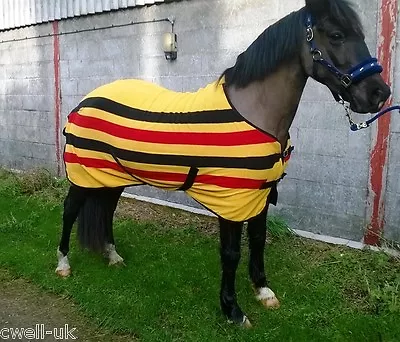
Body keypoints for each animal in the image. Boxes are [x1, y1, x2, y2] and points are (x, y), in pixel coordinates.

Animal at [55, 0, 390, 328]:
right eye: (336, 35)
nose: (379, 94)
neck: (255, 114)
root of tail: (85, 102)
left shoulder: (261, 194)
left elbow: (258, 241)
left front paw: (263, 291)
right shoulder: (231, 200)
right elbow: (231, 253)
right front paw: (233, 310)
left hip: (111, 177)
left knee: (107, 211)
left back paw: (112, 257)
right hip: (83, 176)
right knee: (70, 211)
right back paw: (63, 264)